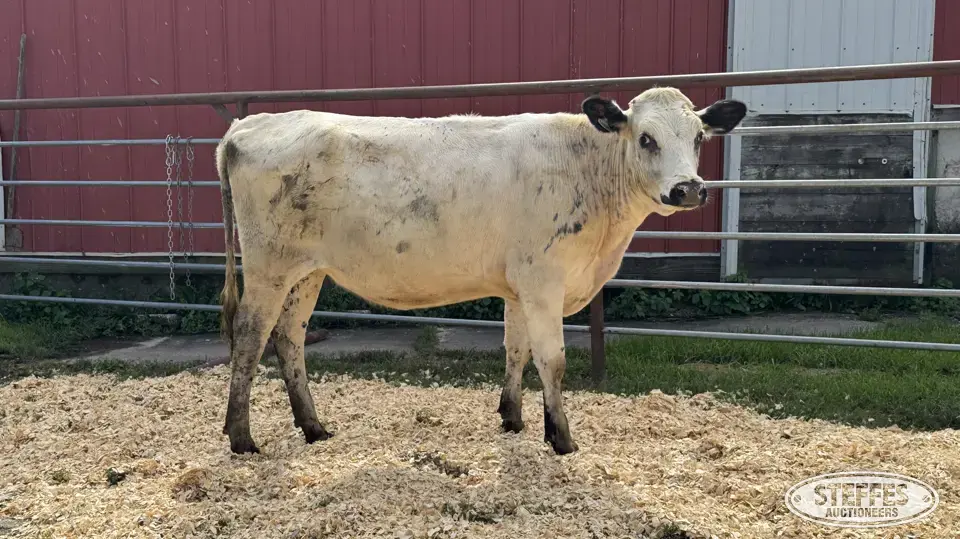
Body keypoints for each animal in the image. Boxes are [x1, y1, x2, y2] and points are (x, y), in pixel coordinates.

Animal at [215, 87, 747, 456]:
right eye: (646, 138)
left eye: (699, 137)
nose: (688, 189)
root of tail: (248, 124)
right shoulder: (544, 281)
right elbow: (552, 360)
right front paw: (562, 439)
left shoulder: (519, 286)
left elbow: (516, 349)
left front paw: (514, 419)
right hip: (267, 266)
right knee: (250, 336)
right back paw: (241, 438)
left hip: (307, 271)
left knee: (289, 337)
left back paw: (313, 427)